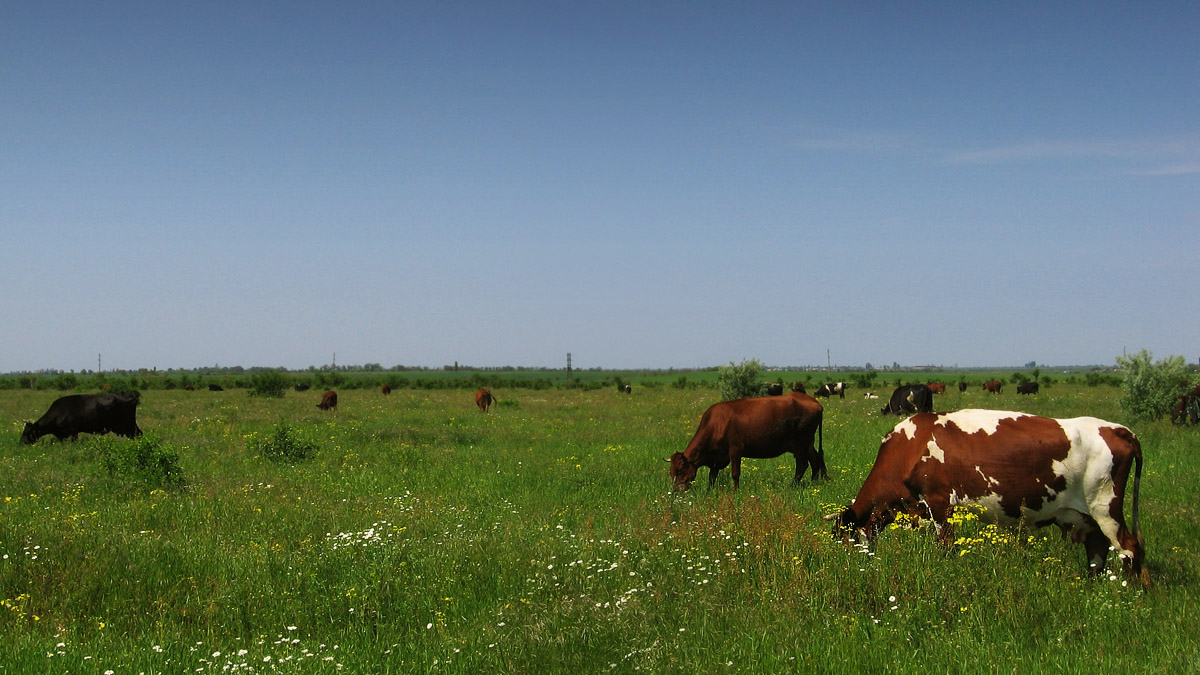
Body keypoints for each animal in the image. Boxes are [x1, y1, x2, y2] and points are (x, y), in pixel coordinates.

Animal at [667, 389, 825, 487]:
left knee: (802, 465)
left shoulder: (735, 450)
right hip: (807, 443)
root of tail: (814, 401)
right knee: (815, 459)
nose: (675, 491)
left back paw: (792, 486)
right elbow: (712, 477)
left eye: (680, 470)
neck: (717, 423)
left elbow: (735, 474)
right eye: (671, 473)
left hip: (801, 443)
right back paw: (814, 483)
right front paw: (709, 492)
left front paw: (735, 492)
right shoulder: (717, 458)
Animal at [830, 408, 1147, 581]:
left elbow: (945, 546)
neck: (909, 446)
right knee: (1098, 551)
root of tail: (1118, 429)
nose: (850, 566)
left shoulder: (939, 503)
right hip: (1089, 518)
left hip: (1105, 507)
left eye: (845, 538)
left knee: (1129, 547)